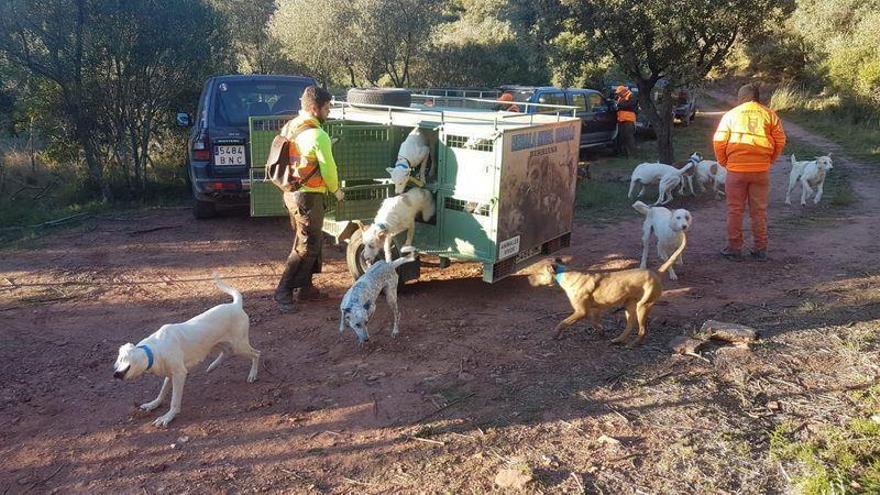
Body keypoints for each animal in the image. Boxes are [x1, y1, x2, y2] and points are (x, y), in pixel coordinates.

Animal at [111, 274, 260, 428]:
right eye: (118, 360)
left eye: (124, 360)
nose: (115, 374)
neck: (153, 350)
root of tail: (236, 305)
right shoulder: (170, 374)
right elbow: (162, 392)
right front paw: (153, 404)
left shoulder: (179, 374)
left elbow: (174, 401)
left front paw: (168, 416)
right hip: (218, 344)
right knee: (227, 353)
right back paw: (213, 366)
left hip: (239, 345)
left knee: (256, 353)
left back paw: (252, 375)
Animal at [528, 236, 688, 348]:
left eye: (538, 273)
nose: (529, 280)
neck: (565, 274)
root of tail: (657, 273)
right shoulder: (595, 310)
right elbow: (595, 323)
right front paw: (601, 332)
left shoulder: (581, 311)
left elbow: (563, 322)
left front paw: (555, 333)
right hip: (630, 307)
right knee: (631, 325)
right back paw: (618, 340)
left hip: (643, 307)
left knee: (642, 330)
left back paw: (633, 344)